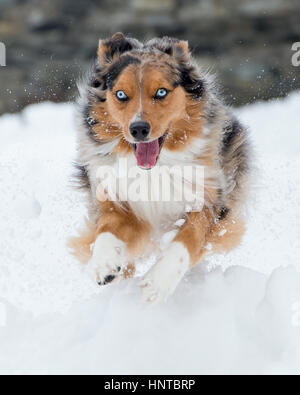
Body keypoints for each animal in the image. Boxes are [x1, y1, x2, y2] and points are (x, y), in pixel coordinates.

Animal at [69, 34, 251, 304]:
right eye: (121, 94)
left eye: (161, 92)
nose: (138, 129)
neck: (154, 171)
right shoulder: (113, 195)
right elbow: (106, 229)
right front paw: (104, 264)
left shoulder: (209, 199)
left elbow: (187, 238)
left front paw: (158, 282)